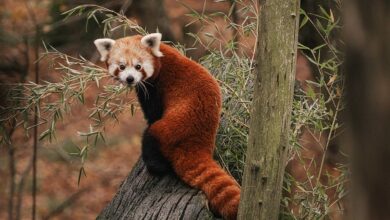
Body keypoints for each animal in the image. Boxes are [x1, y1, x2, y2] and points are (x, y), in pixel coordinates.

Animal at [94, 33, 241, 219]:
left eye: (138, 66)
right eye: (121, 66)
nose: (130, 79)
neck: (162, 58)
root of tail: (197, 144)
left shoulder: (156, 88)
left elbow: (153, 114)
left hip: (167, 130)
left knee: (151, 138)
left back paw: (155, 166)